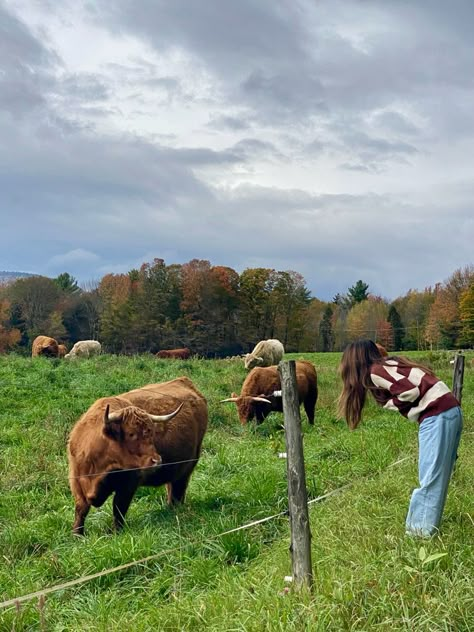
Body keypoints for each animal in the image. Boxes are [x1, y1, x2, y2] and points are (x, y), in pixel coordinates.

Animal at [68, 378, 207, 536]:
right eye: (131, 434)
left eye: (151, 432)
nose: (157, 460)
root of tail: (183, 381)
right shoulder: (76, 481)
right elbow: (81, 510)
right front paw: (77, 535)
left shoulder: (129, 484)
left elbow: (118, 508)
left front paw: (116, 533)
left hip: (188, 467)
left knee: (178, 490)